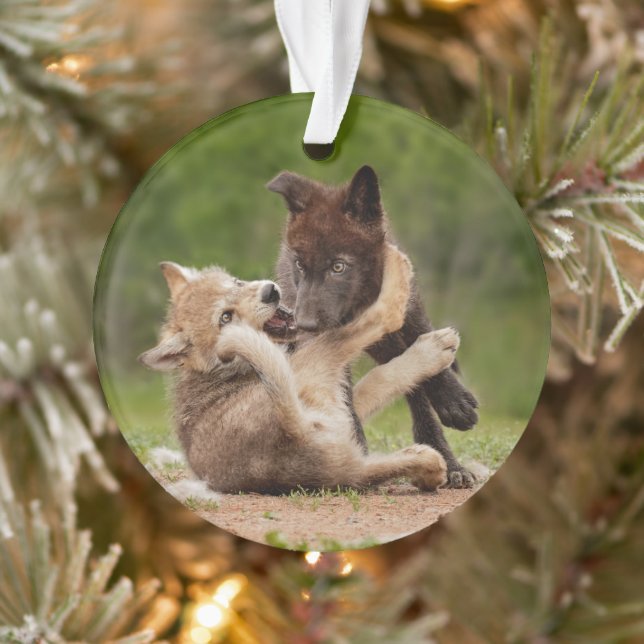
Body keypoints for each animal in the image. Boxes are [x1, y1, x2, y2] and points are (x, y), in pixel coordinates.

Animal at [139, 245, 460, 494]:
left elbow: (375, 384)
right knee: (382, 317)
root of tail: (292, 432)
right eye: (225, 317)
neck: (226, 369)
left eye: (237, 282)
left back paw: (429, 466)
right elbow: (383, 370)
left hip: (349, 457)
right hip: (320, 360)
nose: (270, 292)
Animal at [269, 165, 480, 488]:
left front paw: (453, 401)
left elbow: (427, 356)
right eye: (300, 265)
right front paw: (355, 454)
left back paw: (448, 459)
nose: (302, 323)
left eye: (338, 267)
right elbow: (345, 401)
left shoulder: (408, 314)